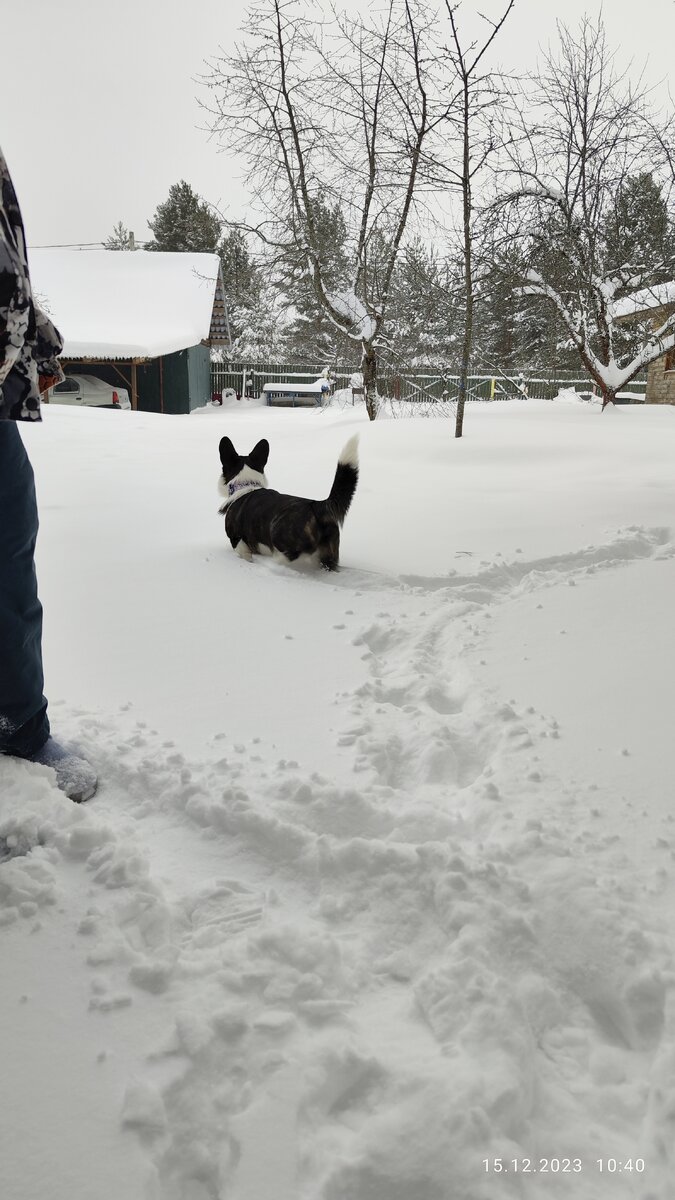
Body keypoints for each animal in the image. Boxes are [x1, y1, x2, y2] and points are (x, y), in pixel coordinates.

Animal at [219, 436, 357, 571]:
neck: (245, 484)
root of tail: (317, 505)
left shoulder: (237, 540)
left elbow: (244, 553)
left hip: (279, 533)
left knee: (289, 555)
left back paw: (273, 563)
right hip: (329, 552)